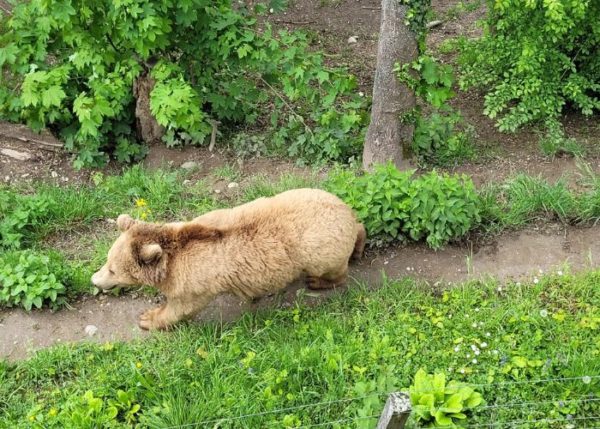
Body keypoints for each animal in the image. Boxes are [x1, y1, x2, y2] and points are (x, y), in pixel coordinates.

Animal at [92, 188, 368, 332]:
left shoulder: (195, 281)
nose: (94, 279)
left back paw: (319, 281)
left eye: (113, 270)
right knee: (359, 225)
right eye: (107, 261)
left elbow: (181, 307)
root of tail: (344, 212)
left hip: (318, 247)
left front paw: (149, 318)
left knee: (332, 269)